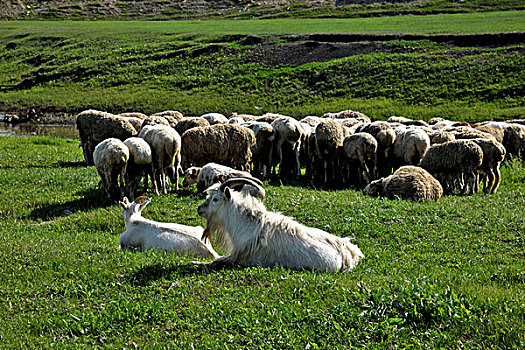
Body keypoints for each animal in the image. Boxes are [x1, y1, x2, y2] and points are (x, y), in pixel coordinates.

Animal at [194, 178, 362, 274]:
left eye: (215, 199)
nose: (200, 208)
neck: (249, 225)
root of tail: (346, 254)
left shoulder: (240, 259)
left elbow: (216, 261)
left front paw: (194, 262)